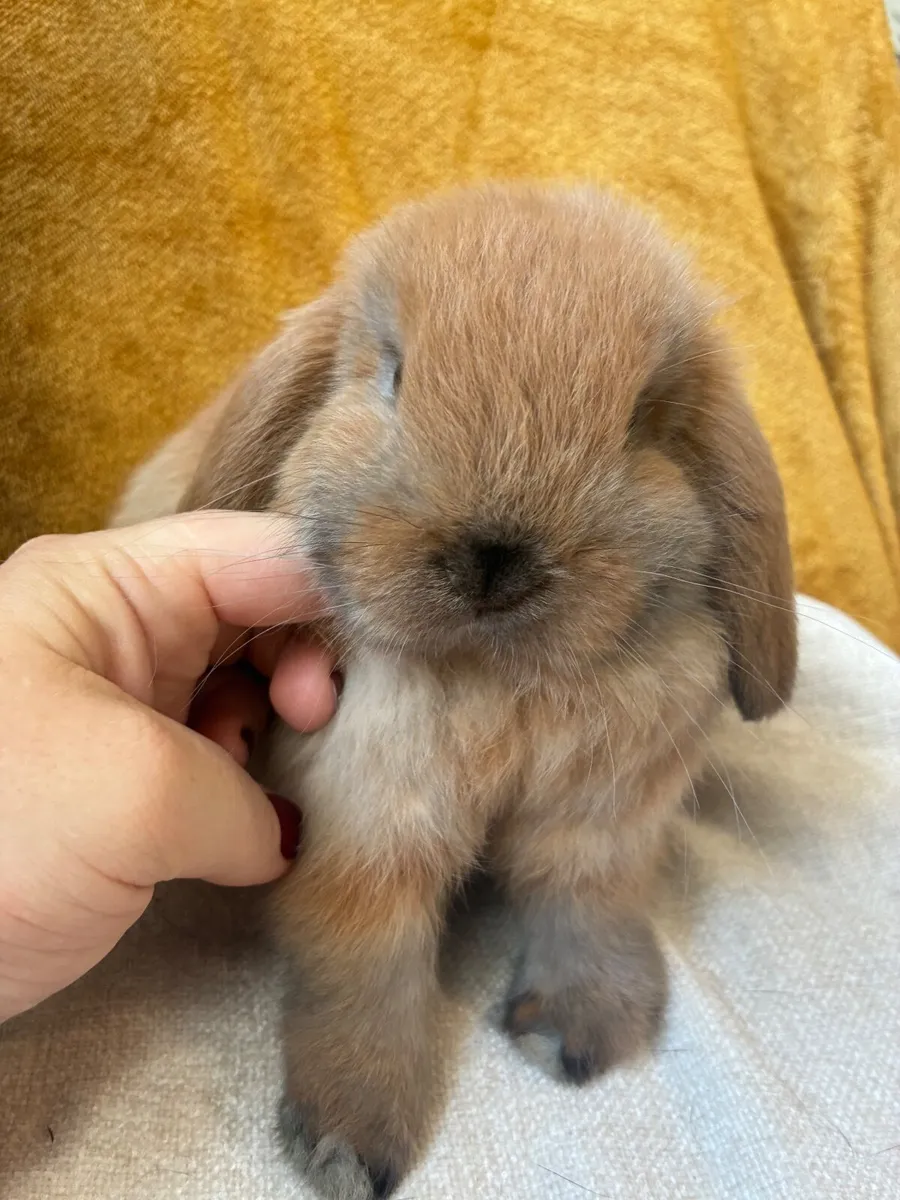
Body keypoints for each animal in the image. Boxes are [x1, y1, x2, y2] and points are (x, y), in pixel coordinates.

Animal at [112, 182, 797, 1199]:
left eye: (642, 419)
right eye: (394, 375)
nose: (496, 559)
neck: (500, 685)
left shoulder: (599, 826)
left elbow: (586, 904)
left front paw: (585, 1033)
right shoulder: (365, 834)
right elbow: (364, 967)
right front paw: (347, 1146)